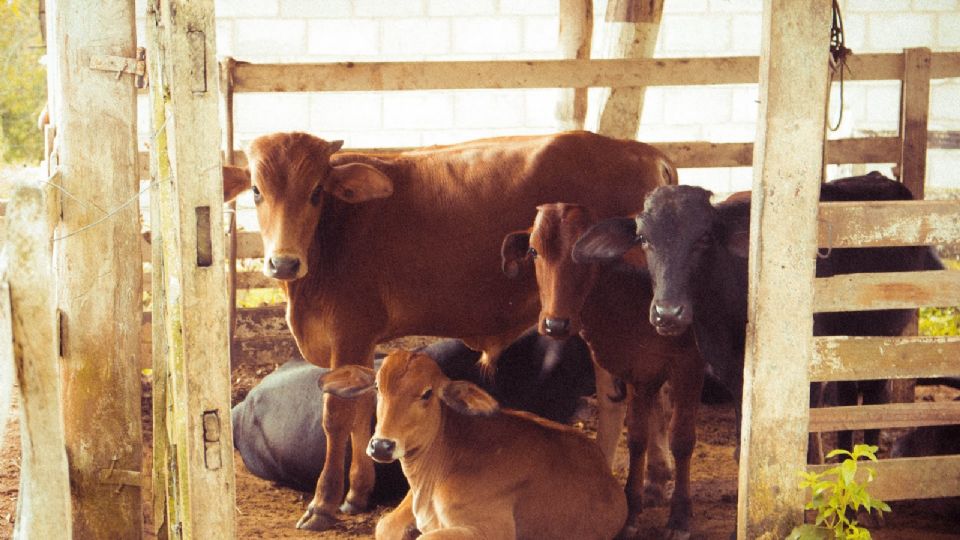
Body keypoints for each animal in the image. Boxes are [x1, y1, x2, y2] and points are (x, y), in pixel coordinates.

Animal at [502, 204, 704, 540]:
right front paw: (631, 510)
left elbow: (682, 439)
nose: (555, 324)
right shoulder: (638, 371)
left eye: (584, 254)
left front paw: (679, 518)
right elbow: (637, 438)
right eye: (533, 250)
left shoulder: (689, 365)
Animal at [568, 173, 944, 460]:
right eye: (644, 239)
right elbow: (741, 447)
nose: (668, 313)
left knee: (873, 399)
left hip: (882, 339)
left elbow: (808, 451)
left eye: (704, 237)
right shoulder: (731, 372)